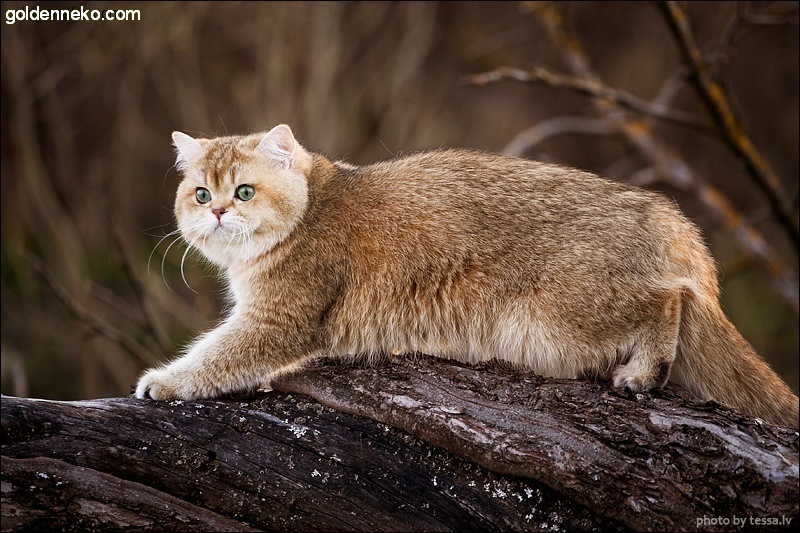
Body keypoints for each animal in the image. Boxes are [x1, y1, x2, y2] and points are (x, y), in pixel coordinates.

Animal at [134, 124, 796, 428]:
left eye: (244, 191)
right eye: (200, 193)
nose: (218, 212)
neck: (313, 204)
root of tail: (669, 217)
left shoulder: (277, 319)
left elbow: (219, 354)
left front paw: (162, 381)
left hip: (556, 322)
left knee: (672, 299)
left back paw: (641, 372)